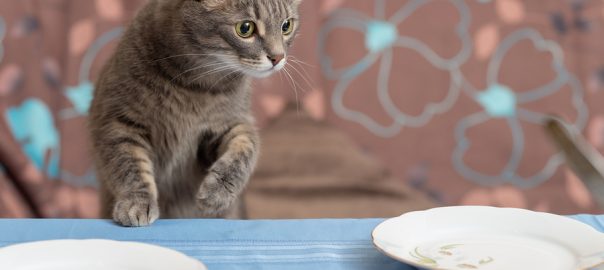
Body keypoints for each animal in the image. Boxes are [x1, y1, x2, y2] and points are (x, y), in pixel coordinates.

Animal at [89, 0, 302, 226]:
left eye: (286, 26)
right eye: (245, 28)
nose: (278, 57)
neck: (195, 85)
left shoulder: (232, 121)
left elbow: (246, 149)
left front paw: (217, 193)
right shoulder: (118, 121)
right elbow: (130, 166)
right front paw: (136, 202)